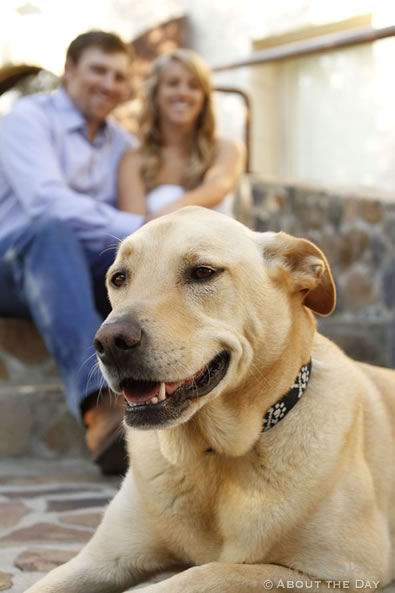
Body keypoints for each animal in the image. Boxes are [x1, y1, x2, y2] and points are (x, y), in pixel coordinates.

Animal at [25, 208, 395, 592]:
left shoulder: (341, 572)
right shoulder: (100, 558)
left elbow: (211, 572)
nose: (109, 342)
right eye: (119, 278)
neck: (210, 456)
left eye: (203, 272)